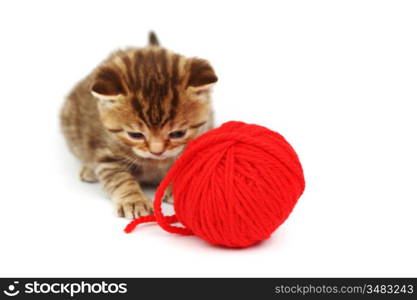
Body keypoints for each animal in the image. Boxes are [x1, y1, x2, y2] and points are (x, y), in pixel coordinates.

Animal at [61, 32, 218, 218]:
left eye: (178, 134)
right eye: (135, 135)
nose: (157, 151)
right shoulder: (107, 154)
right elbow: (119, 178)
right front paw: (134, 200)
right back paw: (89, 170)